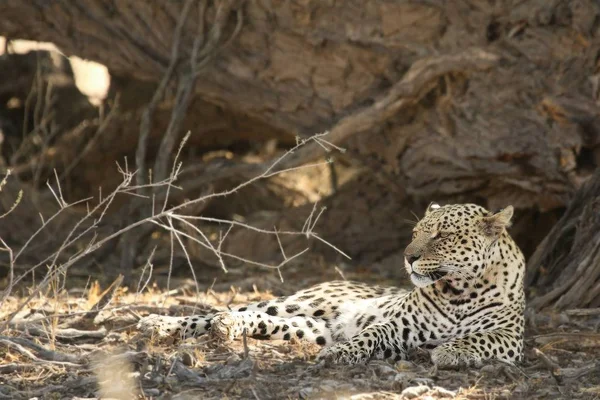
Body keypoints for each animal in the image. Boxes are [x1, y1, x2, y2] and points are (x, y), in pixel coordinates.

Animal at [137, 203, 524, 368]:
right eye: (415, 232)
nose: (408, 257)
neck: (459, 290)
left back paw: (227, 327)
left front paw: (450, 351)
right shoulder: (398, 324)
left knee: (260, 320)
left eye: (442, 236)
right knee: (229, 309)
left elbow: (480, 337)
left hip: (309, 327)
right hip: (299, 302)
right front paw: (340, 354)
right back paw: (160, 322)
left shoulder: (511, 339)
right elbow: (371, 333)